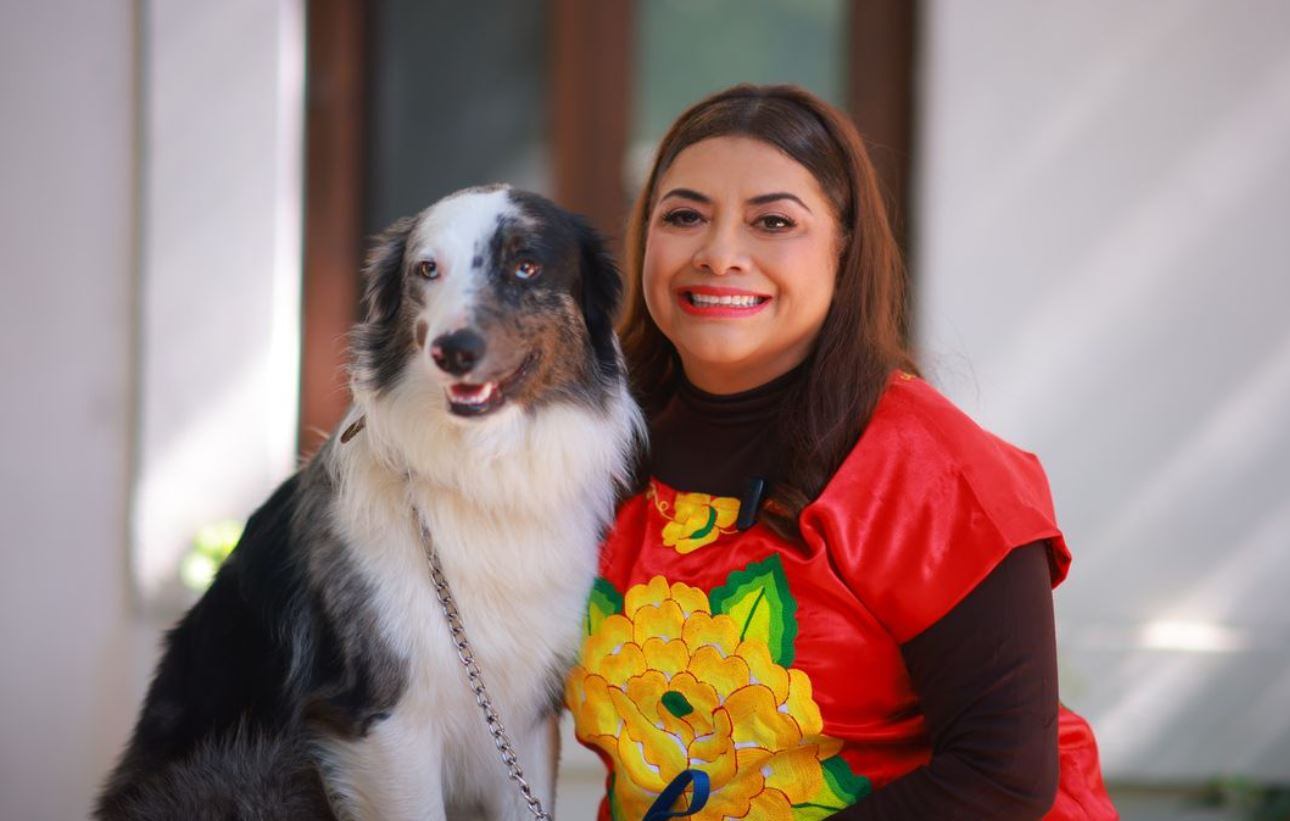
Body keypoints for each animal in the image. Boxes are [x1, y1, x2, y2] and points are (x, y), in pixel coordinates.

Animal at [96, 187, 645, 821]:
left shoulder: (524, 720)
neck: (478, 470)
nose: (453, 351)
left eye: (526, 265)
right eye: (427, 270)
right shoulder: (386, 723)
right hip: (255, 767)